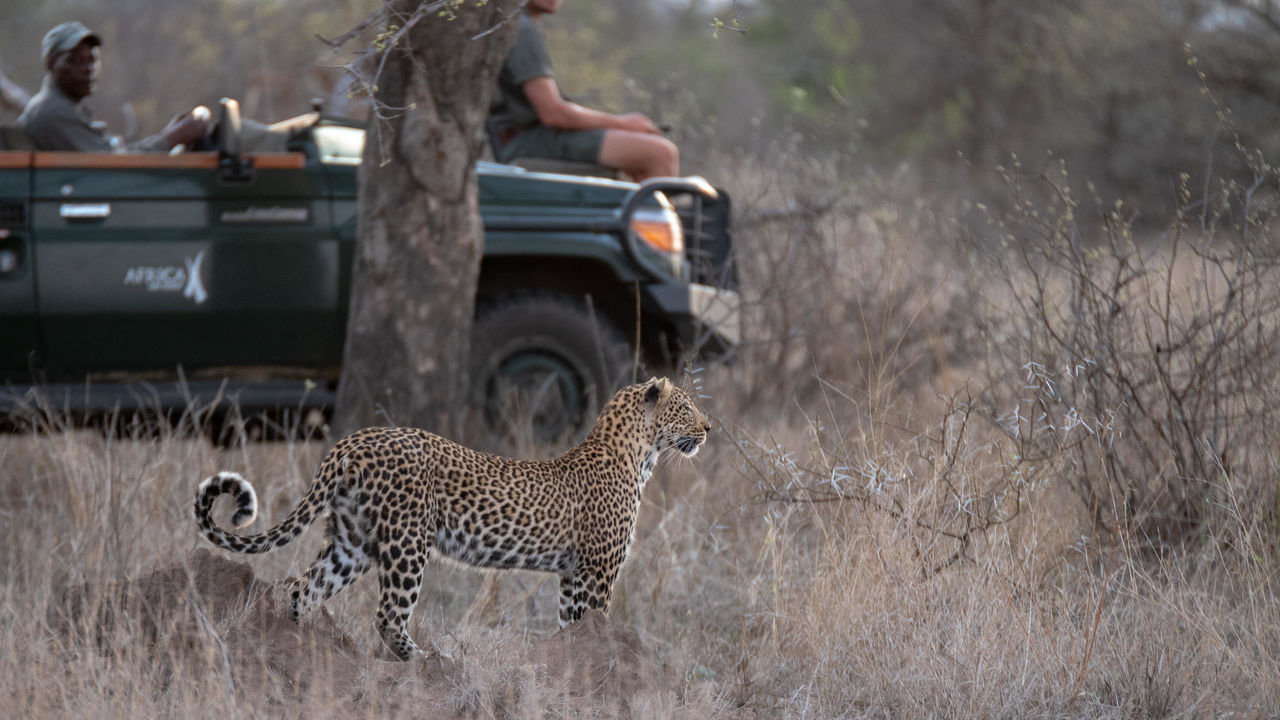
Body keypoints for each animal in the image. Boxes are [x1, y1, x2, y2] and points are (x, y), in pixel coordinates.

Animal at [197, 371, 711, 661]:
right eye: (686, 407)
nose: (708, 426)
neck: (638, 455)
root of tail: (350, 443)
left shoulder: (572, 576)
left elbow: (572, 629)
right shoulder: (598, 572)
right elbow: (597, 625)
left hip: (352, 543)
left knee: (301, 591)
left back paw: (305, 653)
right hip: (408, 542)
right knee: (387, 614)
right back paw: (429, 660)